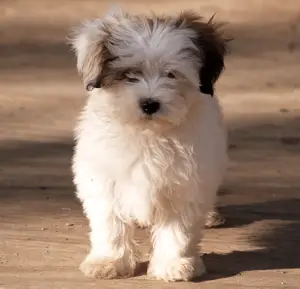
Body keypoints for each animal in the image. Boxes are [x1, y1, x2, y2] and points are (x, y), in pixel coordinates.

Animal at [70, 10, 229, 280]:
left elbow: (178, 229)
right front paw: (109, 261)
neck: (148, 134)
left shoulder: (185, 183)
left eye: (172, 74)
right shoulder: (103, 178)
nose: (149, 103)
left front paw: (173, 264)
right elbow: (110, 223)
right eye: (129, 74)